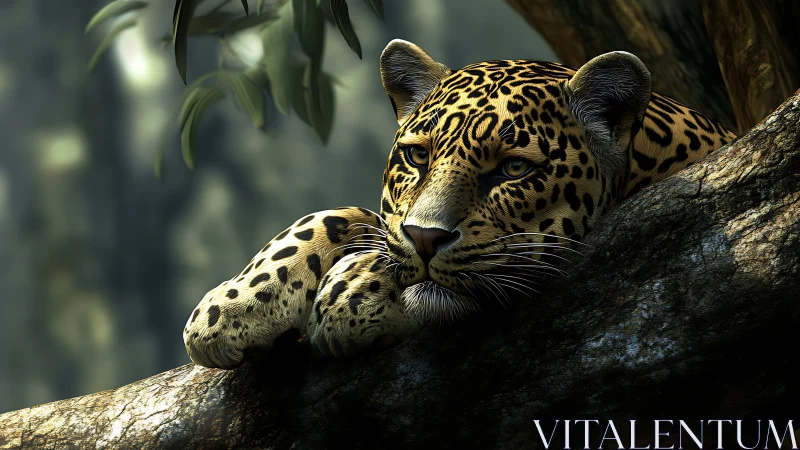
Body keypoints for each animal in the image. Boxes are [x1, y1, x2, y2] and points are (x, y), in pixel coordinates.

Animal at [183, 39, 736, 368]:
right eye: (417, 156)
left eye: (513, 170)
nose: (426, 239)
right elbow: (345, 216)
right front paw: (234, 305)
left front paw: (351, 290)